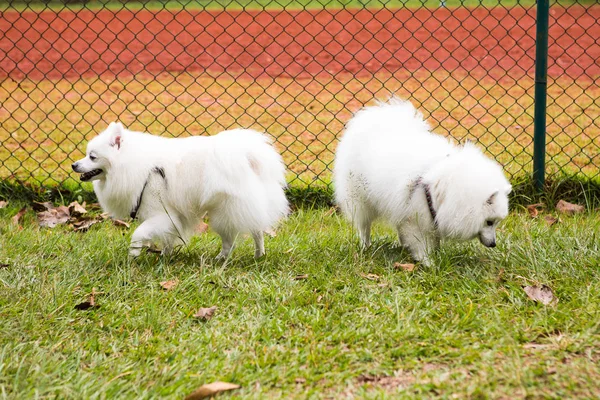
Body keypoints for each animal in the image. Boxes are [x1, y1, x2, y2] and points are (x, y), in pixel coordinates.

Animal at [72, 122, 288, 260]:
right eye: (86, 154)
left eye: (92, 156)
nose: (74, 165)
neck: (134, 165)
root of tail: (245, 155)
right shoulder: (171, 218)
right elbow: (168, 238)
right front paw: (165, 256)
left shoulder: (160, 214)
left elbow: (138, 234)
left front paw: (133, 255)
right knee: (257, 230)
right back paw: (258, 255)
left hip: (223, 213)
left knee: (232, 239)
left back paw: (221, 258)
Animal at [332, 98, 510, 264]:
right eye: (489, 222)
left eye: (496, 223)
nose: (493, 244)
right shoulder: (415, 219)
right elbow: (421, 245)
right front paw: (429, 263)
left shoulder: (432, 217)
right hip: (361, 201)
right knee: (364, 226)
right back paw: (366, 247)